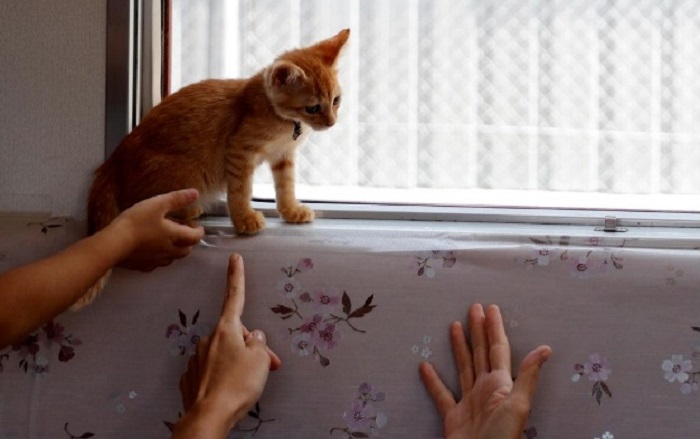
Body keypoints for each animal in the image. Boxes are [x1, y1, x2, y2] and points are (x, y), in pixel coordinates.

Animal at [75, 29, 348, 310]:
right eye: (312, 107)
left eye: (336, 100)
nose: (332, 122)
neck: (283, 122)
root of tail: (113, 161)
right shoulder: (239, 151)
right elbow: (240, 190)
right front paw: (244, 219)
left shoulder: (284, 157)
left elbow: (286, 185)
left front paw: (291, 211)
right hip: (186, 174)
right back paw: (185, 211)